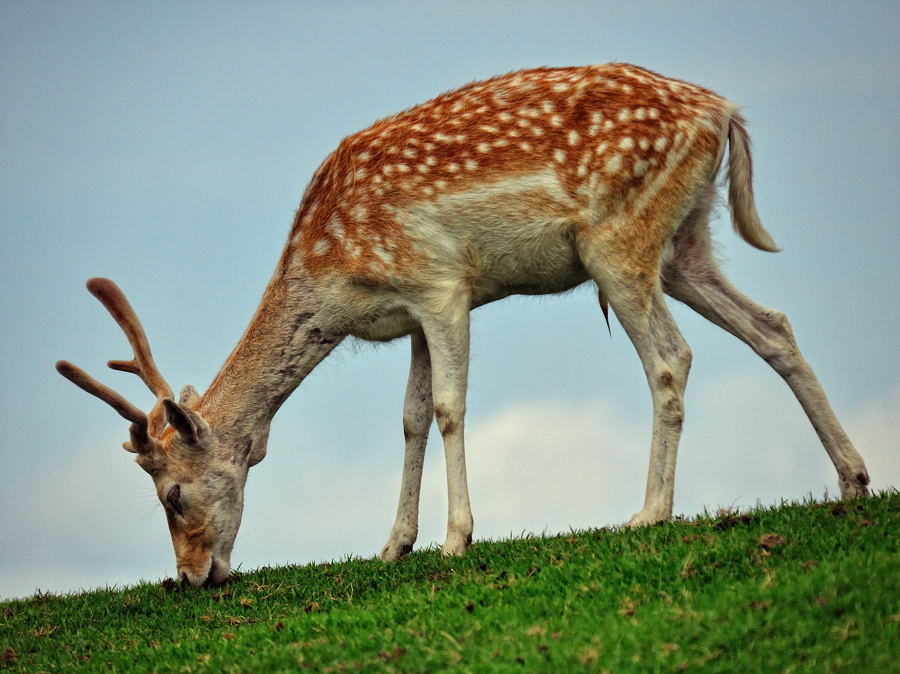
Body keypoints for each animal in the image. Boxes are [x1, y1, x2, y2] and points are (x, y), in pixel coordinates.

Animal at [58, 64, 872, 588]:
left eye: (172, 496)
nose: (191, 577)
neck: (333, 275)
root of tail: (723, 110)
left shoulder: (442, 285)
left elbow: (449, 408)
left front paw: (456, 539)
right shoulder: (413, 313)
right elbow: (411, 417)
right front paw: (392, 545)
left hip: (620, 239)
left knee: (672, 356)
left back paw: (649, 512)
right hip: (685, 244)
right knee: (773, 326)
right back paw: (853, 479)